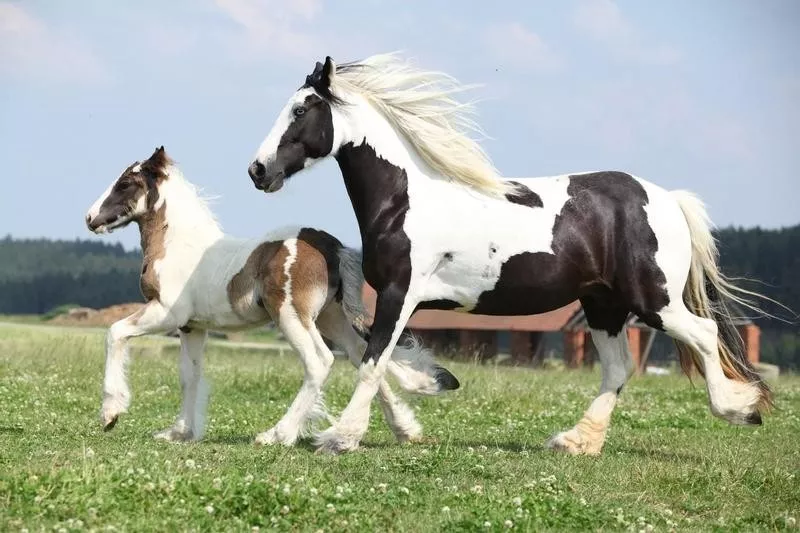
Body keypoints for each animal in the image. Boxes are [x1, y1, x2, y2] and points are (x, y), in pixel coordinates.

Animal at [85, 145, 460, 444]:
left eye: (125, 183)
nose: (90, 218)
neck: (181, 246)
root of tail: (331, 246)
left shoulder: (166, 313)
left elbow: (115, 333)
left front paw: (111, 413)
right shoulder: (193, 326)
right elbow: (189, 377)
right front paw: (179, 432)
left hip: (291, 315)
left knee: (320, 361)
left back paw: (277, 434)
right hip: (331, 317)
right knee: (363, 355)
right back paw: (403, 430)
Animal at [250, 53, 776, 454]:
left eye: (301, 110)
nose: (258, 170)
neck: (405, 199)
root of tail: (668, 198)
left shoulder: (401, 294)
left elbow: (372, 361)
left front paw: (339, 437)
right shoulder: (396, 300)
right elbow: (374, 359)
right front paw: (427, 389)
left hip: (654, 301)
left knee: (705, 334)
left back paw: (740, 409)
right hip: (604, 306)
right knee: (618, 369)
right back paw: (576, 442)